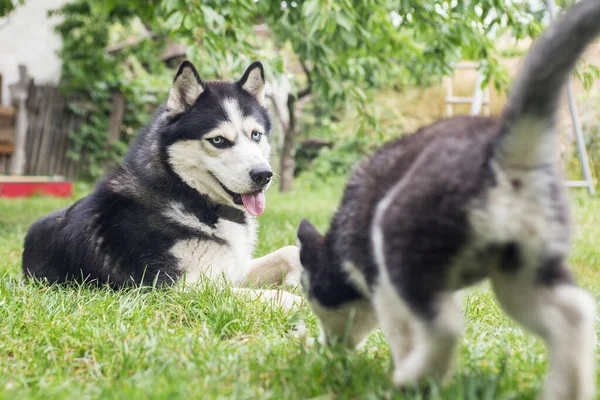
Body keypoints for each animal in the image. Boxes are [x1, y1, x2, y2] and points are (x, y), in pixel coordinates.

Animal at [22, 60, 304, 310]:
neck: (186, 195)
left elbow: (290, 251)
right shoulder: (177, 288)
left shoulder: (233, 269)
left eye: (256, 135)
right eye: (218, 140)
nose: (264, 175)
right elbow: (271, 295)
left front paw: (295, 279)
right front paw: (297, 301)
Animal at [298, 1, 596, 398]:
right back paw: (566, 389)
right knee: (575, 313)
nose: (328, 348)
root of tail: (502, 153)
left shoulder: (384, 285)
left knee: (447, 327)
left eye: (314, 298)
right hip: (521, 273)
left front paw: (402, 365)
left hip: (405, 241)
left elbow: (403, 334)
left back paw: (415, 378)